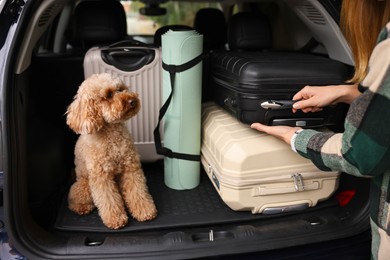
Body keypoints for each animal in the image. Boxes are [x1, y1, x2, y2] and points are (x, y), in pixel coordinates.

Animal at [65, 73, 157, 230]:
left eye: (121, 89)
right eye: (108, 95)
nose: (132, 100)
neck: (112, 134)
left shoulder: (130, 168)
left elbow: (137, 191)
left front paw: (145, 211)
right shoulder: (101, 177)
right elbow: (108, 199)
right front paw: (116, 219)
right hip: (84, 185)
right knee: (77, 196)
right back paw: (81, 207)